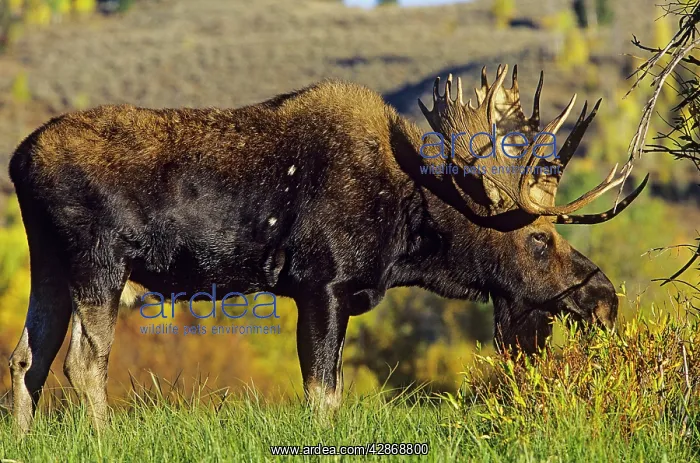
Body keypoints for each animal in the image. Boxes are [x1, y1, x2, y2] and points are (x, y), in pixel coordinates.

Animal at [6, 64, 647, 432]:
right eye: (539, 238)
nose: (604, 298)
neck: (409, 229)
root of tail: (17, 160)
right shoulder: (323, 285)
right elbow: (323, 395)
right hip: (100, 263)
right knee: (82, 362)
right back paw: (102, 437)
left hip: (50, 266)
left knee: (26, 358)